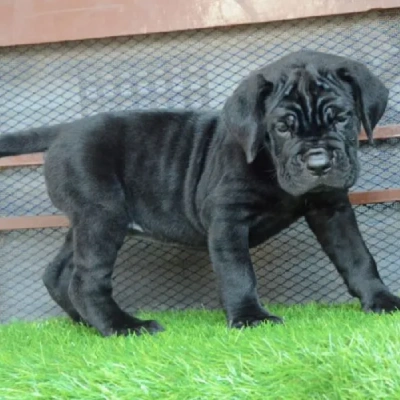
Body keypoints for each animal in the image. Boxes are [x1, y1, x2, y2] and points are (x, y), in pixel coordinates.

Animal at [0, 50, 400, 338]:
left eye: (342, 118)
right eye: (283, 127)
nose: (318, 163)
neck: (269, 163)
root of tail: (65, 130)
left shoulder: (331, 208)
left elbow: (357, 257)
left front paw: (381, 300)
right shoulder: (226, 220)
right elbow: (237, 272)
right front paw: (249, 317)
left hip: (86, 221)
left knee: (58, 274)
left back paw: (87, 323)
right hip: (102, 216)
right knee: (86, 280)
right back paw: (124, 326)